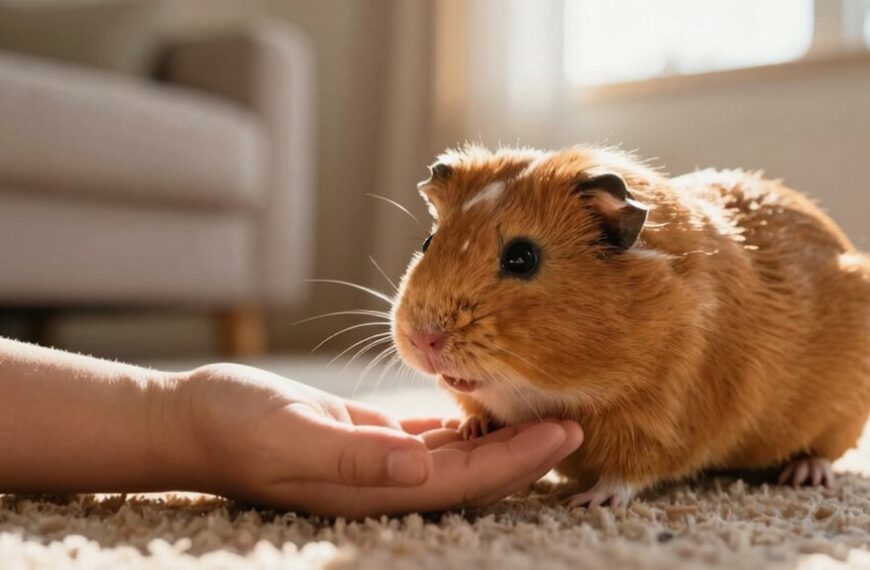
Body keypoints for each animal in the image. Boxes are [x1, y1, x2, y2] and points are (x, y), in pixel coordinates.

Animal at [391, 144, 870, 507]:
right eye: (428, 242)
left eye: (522, 257)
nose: (423, 338)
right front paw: (470, 429)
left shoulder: (661, 417)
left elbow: (630, 471)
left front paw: (587, 503)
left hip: (842, 418)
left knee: (825, 453)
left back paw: (803, 475)